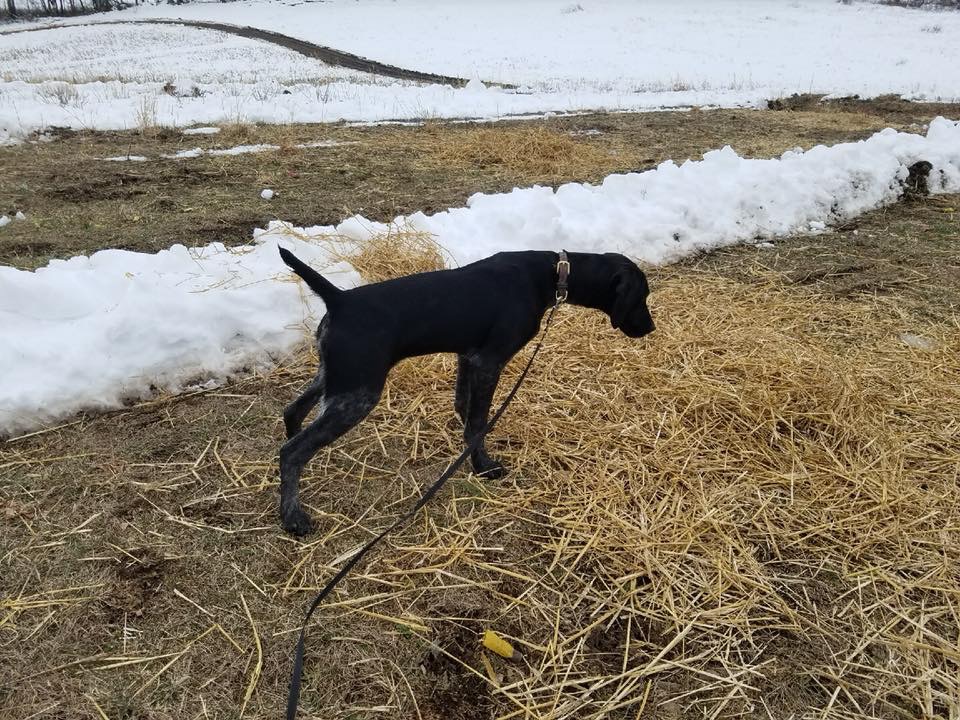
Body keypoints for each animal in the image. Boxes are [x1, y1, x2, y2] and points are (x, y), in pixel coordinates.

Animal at [274, 248, 656, 536]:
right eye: (642, 296)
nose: (650, 328)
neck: (552, 273)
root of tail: (339, 300)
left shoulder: (468, 357)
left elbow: (466, 408)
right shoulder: (489, 362)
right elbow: (477, 421)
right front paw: (483, 465)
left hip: (337, 379)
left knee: (293, 414)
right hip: (358, 393)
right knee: (291, 452)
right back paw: (293, 517)